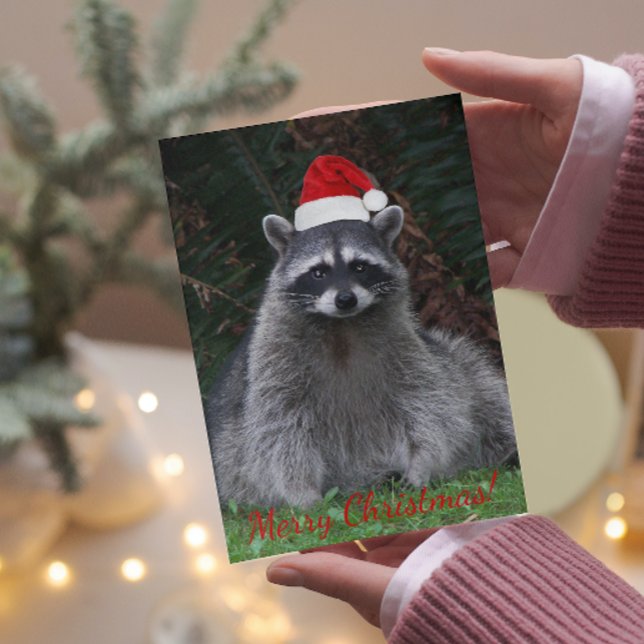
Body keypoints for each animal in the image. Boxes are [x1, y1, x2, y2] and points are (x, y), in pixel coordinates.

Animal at [207, 205, 517, 508]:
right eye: (318, 273)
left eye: (360, 266)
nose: (345, 299)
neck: (341, 325)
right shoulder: (273, 361)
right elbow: (280, 428)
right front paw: (302, 490)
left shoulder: (406, 346)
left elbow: (427, 404)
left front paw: (421, 462)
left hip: (452, 359)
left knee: (481, 386)